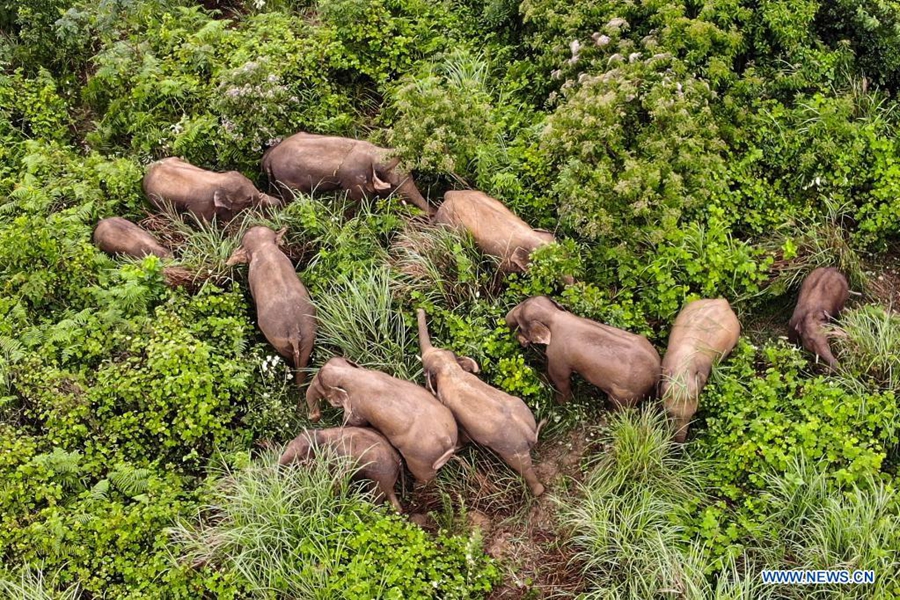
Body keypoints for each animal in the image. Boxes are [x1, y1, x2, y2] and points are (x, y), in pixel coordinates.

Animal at [143, 157, 282, 222]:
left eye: (253, 183)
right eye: (248, 199)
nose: (279, 202)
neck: (219, 178)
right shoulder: (201, 206)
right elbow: (202, 222)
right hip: (156, 200)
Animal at [261, 132, 434, 215]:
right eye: (395, 184)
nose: (433, 212)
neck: (375, 152)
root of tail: (268, 156)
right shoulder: (354, 179)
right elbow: (362, 200)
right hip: (287, 180)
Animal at [306, 357, 457, 483]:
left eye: (320, 382)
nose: (313, 417)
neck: (351, 373)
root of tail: (447, 441)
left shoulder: (357, 408)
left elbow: (354, 421)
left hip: (421, 460)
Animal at [417, 309, 544, 495]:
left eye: (425, 370)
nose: (419, 310)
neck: (449, 369)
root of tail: (529, 431)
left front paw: (459, 447)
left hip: (513, 449)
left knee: (523, 467)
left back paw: (537, 492)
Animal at [506, 296, 661, 408]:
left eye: (519, 321)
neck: (555, 315)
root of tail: (658, 372)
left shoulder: (558, 354)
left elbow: (560, 376)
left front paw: (561, 402)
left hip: (627, 394)